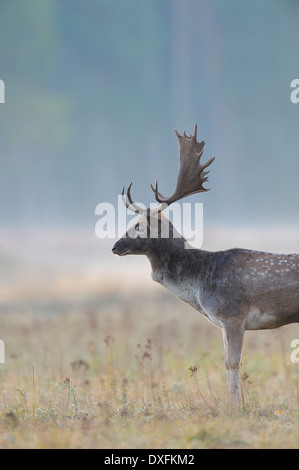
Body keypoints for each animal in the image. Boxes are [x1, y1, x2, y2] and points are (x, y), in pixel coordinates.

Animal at [112, 126, 299, 404]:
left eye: (138, 226)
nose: (115, 246)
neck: (200, 282)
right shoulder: (223, 322)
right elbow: (226, 362)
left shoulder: (233, 314)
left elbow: (233, 363)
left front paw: (235, 405)